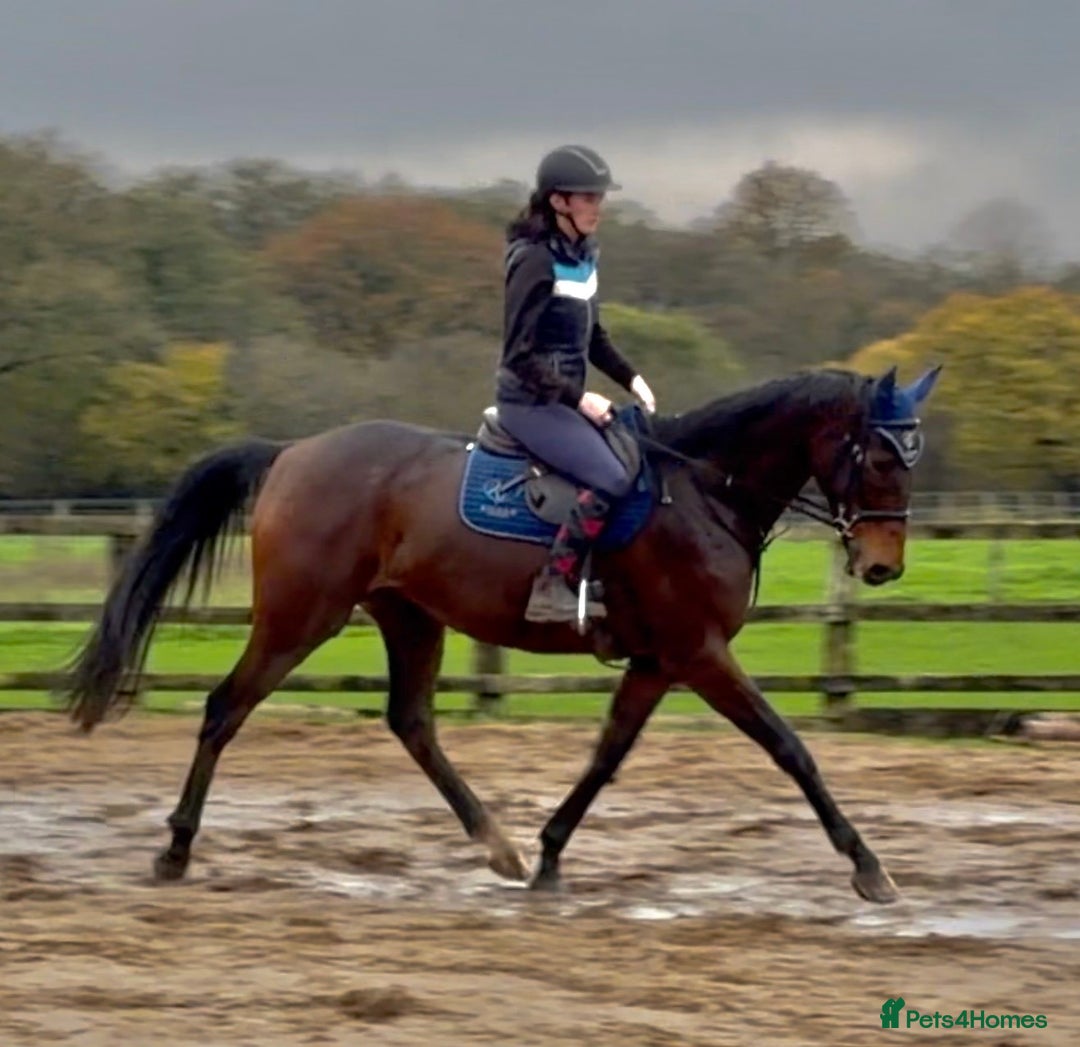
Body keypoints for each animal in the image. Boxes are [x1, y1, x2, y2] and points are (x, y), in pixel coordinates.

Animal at [63, 363, 940, 903]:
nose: (883, 566)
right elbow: (790, 747)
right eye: (877, 459)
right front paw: (868, 866)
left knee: (412, 722)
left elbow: (606, 756)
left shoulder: (659, 660)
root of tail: (290, 453)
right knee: (225, 708)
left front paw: (549, 854)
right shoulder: (699, 653)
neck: (702, 491)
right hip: (299, 616)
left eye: (913, 460)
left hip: (410, 617)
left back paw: (500, 845)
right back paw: (176, 850)